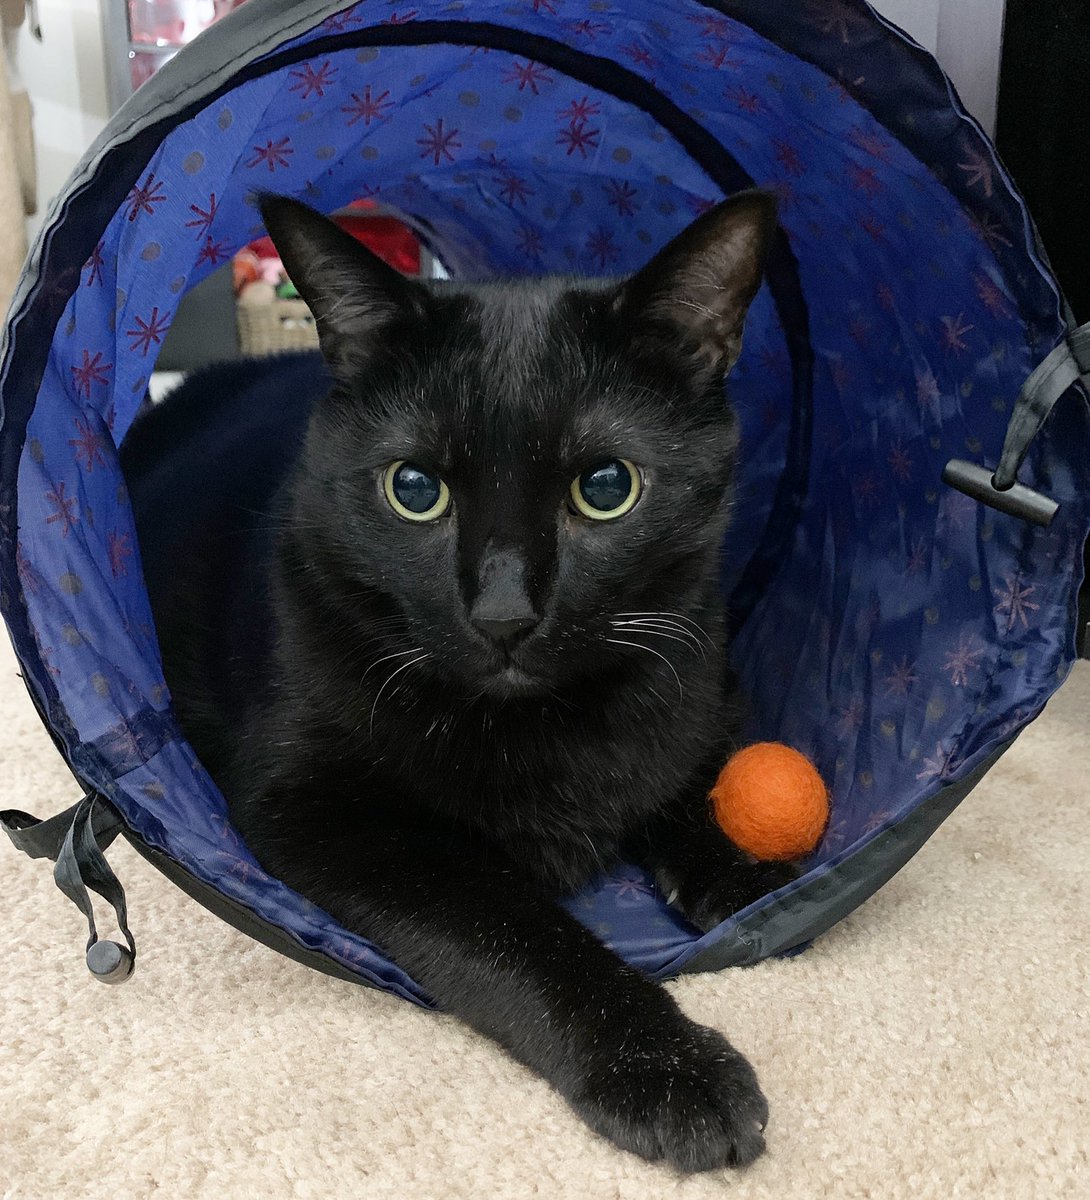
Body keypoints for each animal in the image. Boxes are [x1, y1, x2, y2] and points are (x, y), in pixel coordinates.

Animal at [123, 194, 797, 1171]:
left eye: (607, 487)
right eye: (415, 489)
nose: (504, 613)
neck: (544, 723)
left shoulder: (700, 666)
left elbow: (701, 771)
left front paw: (749, 874)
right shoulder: (327, 813)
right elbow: (513, 928)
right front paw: (665, 1065)